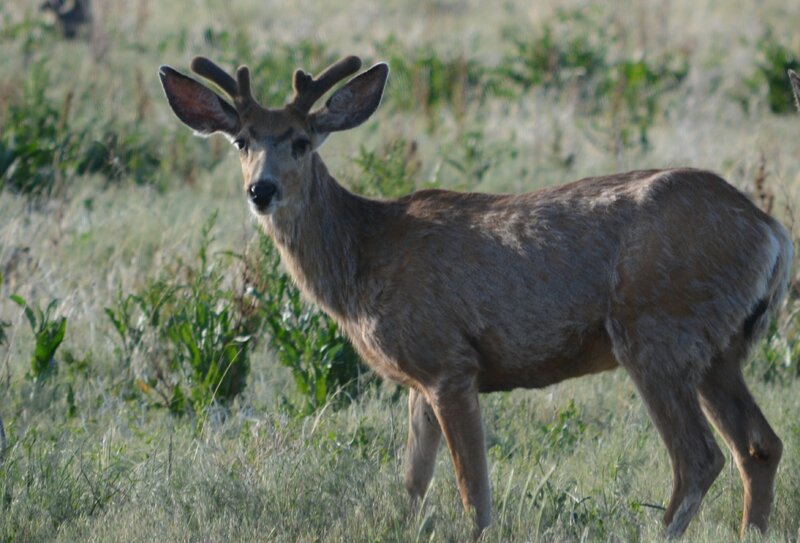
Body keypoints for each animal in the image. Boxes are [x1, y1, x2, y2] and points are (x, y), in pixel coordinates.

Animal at [159, 54, 792, 539]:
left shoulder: (449, 361)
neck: (362, 257)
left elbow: (472, 489)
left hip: (657, 330)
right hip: (717, 348)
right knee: (760, 446)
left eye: (299, 141)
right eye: (241, 140)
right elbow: (413, 482)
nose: (260, 189)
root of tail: (770, 230)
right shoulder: (416, 378)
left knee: (700, 456)